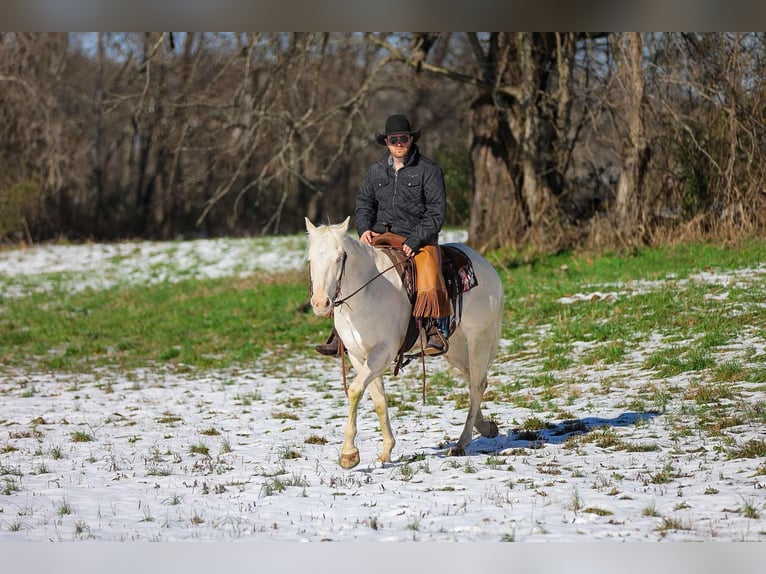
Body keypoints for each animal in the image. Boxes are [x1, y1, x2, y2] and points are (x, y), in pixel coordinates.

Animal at [306, 216, 510, 468]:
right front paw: (386, 451)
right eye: (310, 260)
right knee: (474, 380)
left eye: (339, 257)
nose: (320, 303)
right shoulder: (358, 356)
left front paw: (349, 454)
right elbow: (379, 400)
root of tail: (487, 267)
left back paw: (462, 443)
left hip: (479, 338)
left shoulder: (381, 353)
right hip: (454, 347)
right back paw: (485, 428)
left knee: (477, 385)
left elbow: (354, 391)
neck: (369, 291)